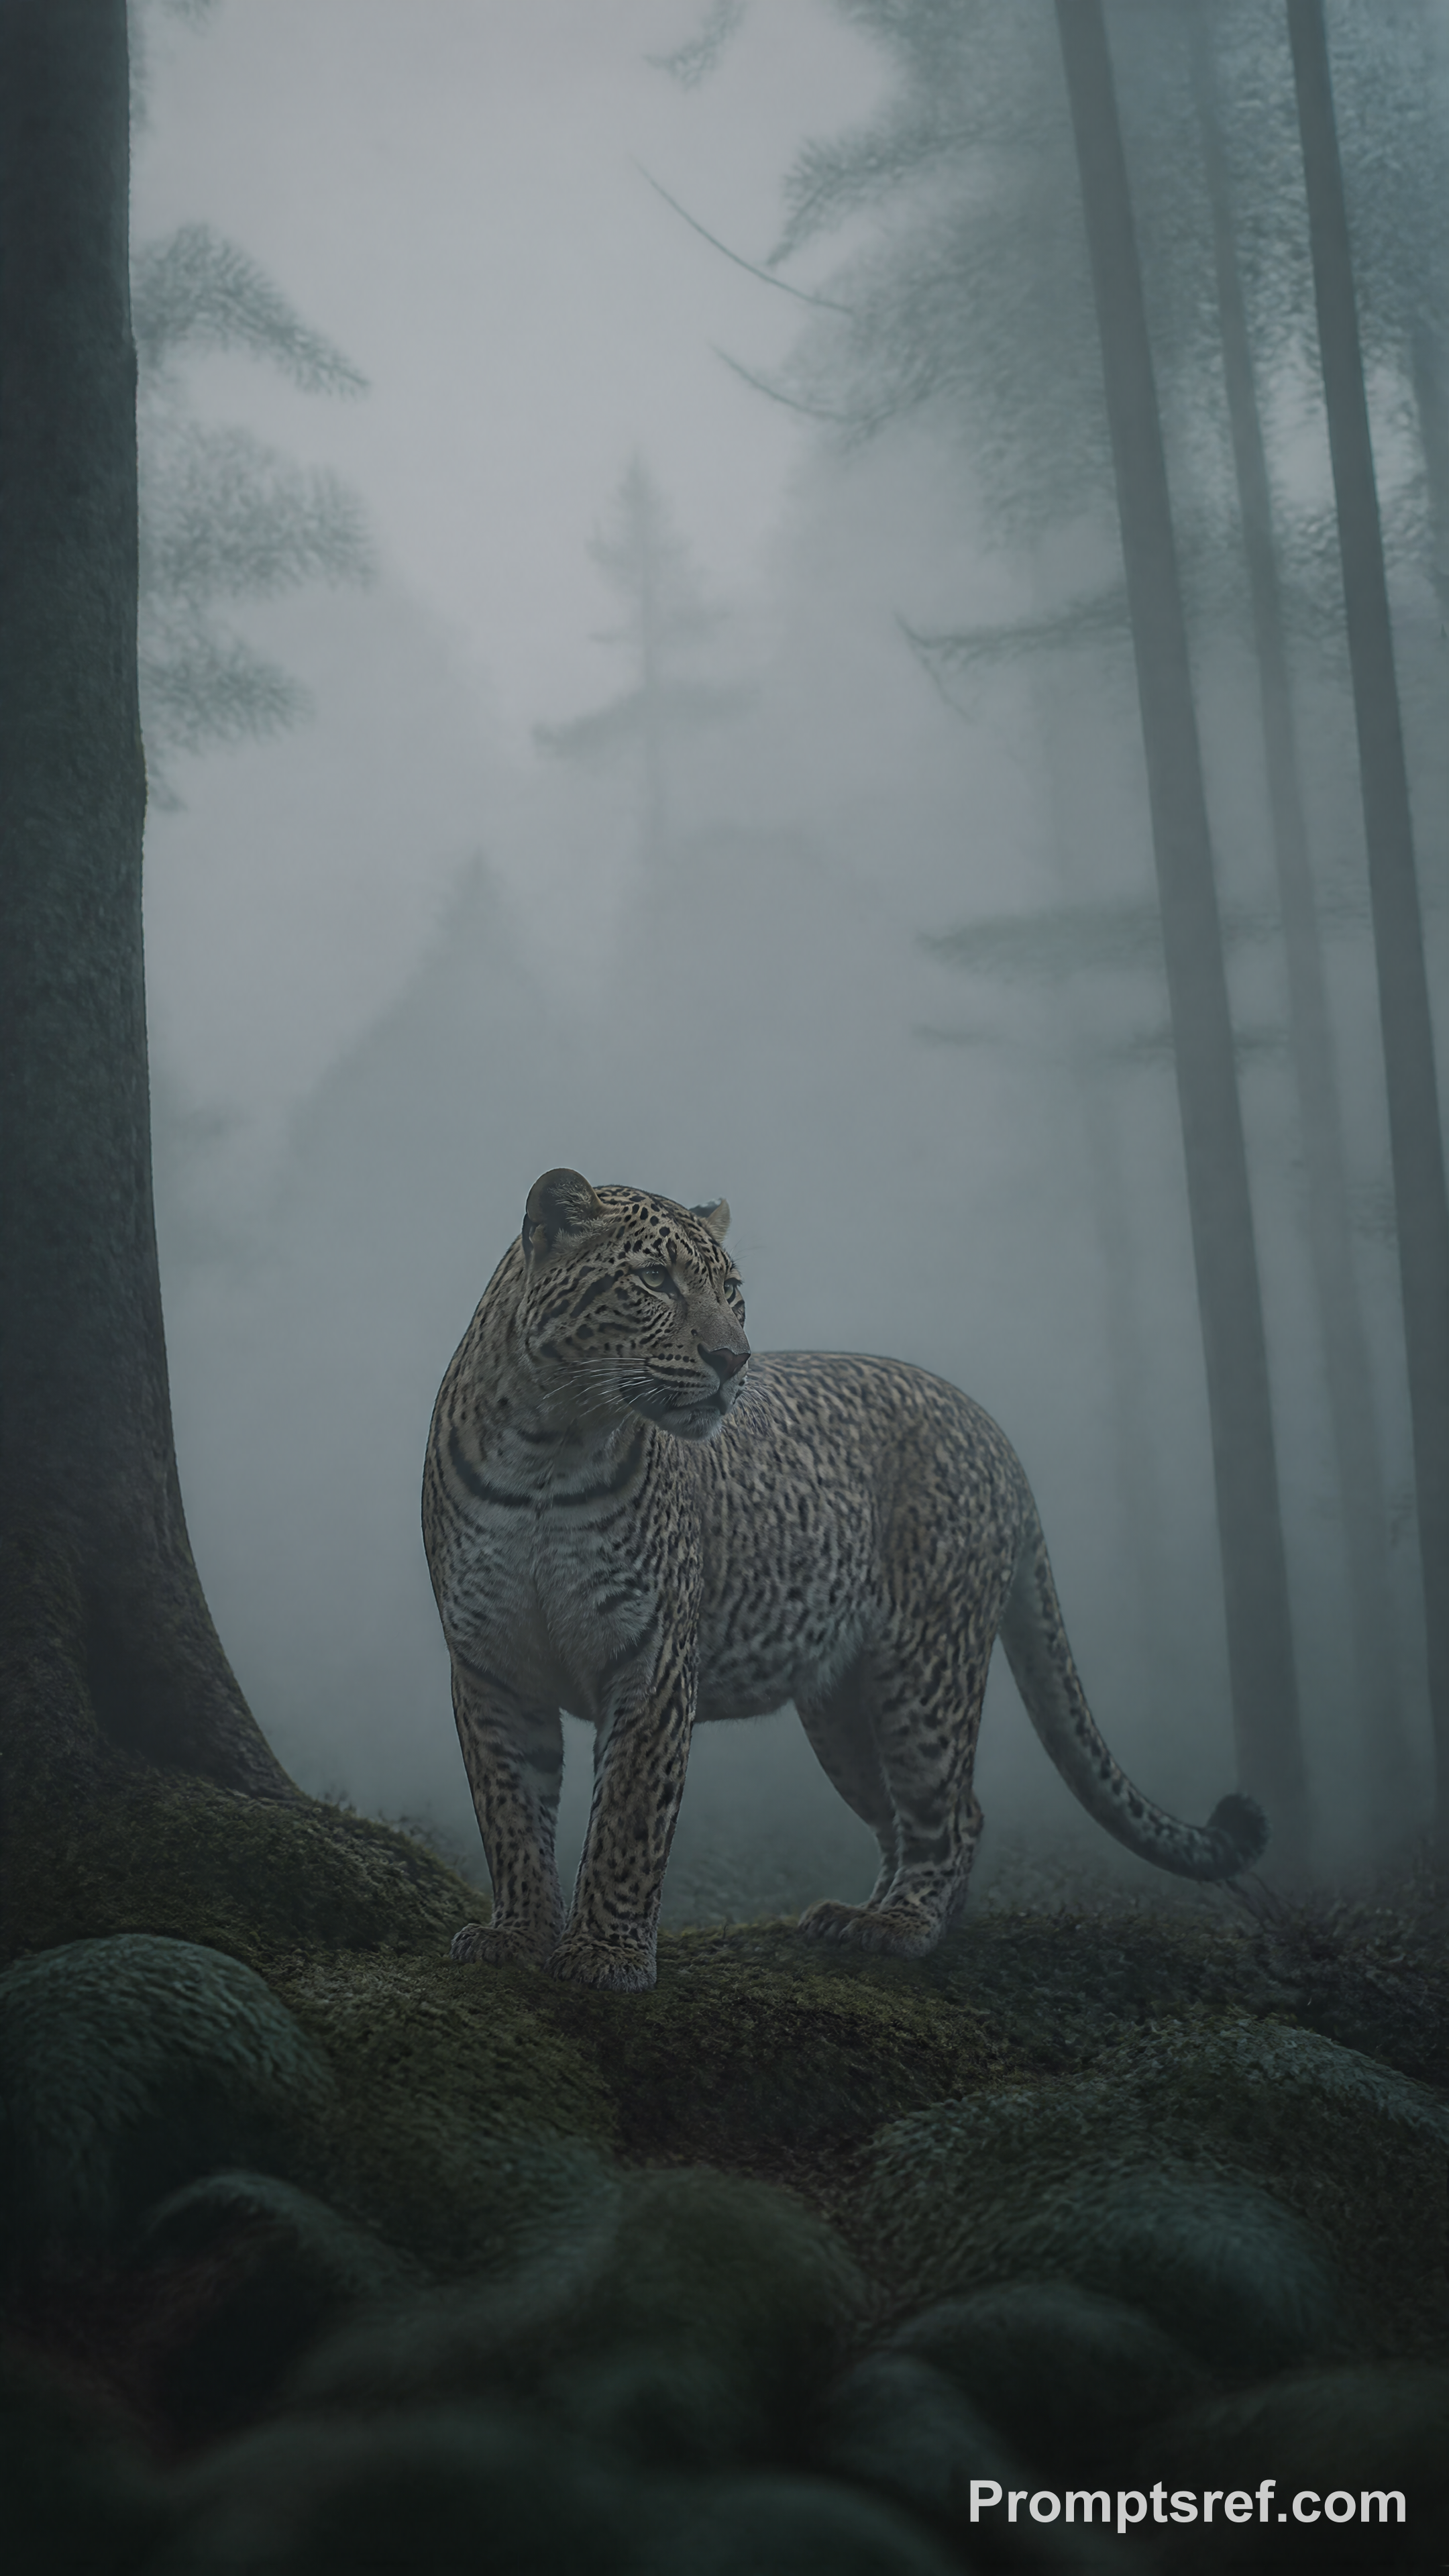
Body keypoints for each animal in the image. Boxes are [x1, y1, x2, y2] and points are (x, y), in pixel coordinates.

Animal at [422, 1169, 1267, 1993]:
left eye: (732, 1291)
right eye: (655, 1280)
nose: (735, 1360)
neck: (550, 1448)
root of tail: (985, 1424)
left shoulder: (650, 1659)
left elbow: (628, 1817)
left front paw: (607, 1955)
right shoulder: (490, 1667)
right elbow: (509, 1813)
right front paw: (518, 1935)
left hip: (925, 1672)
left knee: (953, 1812)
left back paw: (900, 1924)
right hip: (842, 1710)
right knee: (901, 1814)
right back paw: (869, 1912)